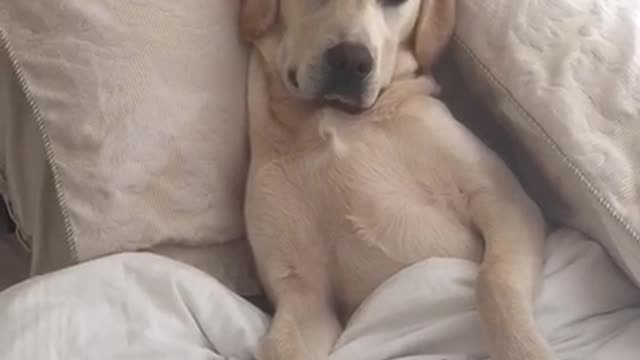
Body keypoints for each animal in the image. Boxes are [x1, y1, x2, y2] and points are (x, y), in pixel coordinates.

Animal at [240, 0, 556, 360]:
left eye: (395, 3)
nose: (352, 60)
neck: (332, 121)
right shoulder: (303, 292)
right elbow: (283, 343)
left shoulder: (506, 203)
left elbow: (493, 281)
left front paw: (525, 348)